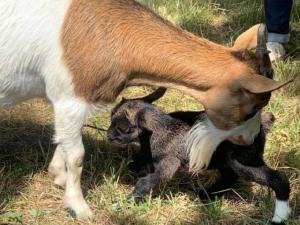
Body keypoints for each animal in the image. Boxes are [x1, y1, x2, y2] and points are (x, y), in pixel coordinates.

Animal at [0, 0, 290, 220]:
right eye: (256, 104)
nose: (252, 139)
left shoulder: (67, 101)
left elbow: (64, 140)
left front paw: (57, 176)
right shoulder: (70, 96)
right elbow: (77, 156)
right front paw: (79, 208)